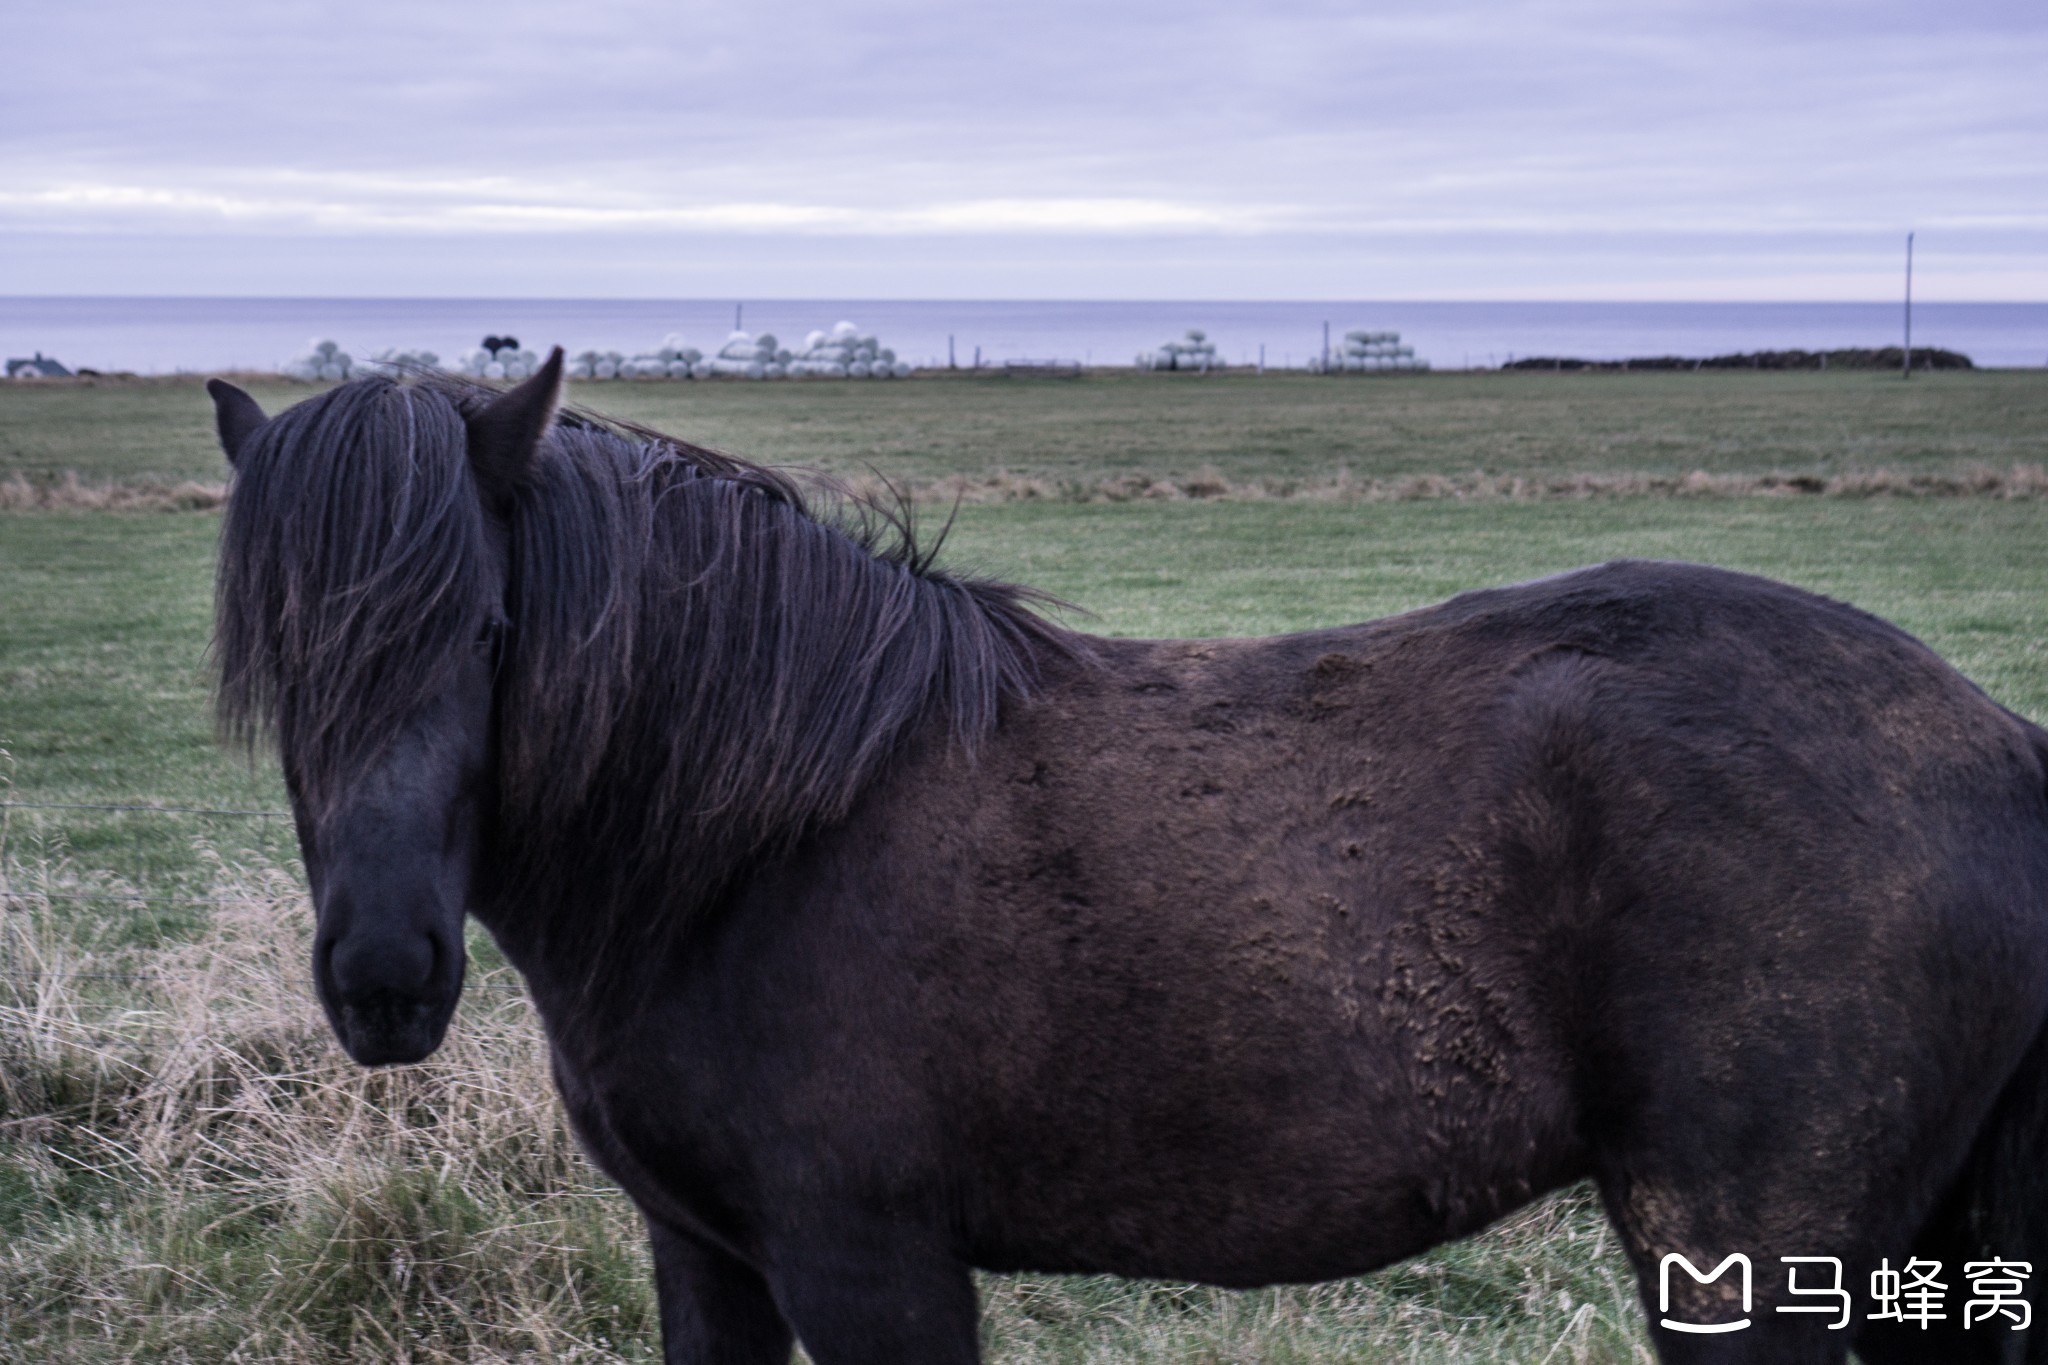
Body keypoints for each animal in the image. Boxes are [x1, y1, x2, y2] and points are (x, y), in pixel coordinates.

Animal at [207, 356, 2048, 1365]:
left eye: (490, 630)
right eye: (278, 657)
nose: (383, 978)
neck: (762, 836)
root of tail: (1998, 745)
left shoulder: (870, 1266)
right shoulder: (707, 1259)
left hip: (1747, 1260)